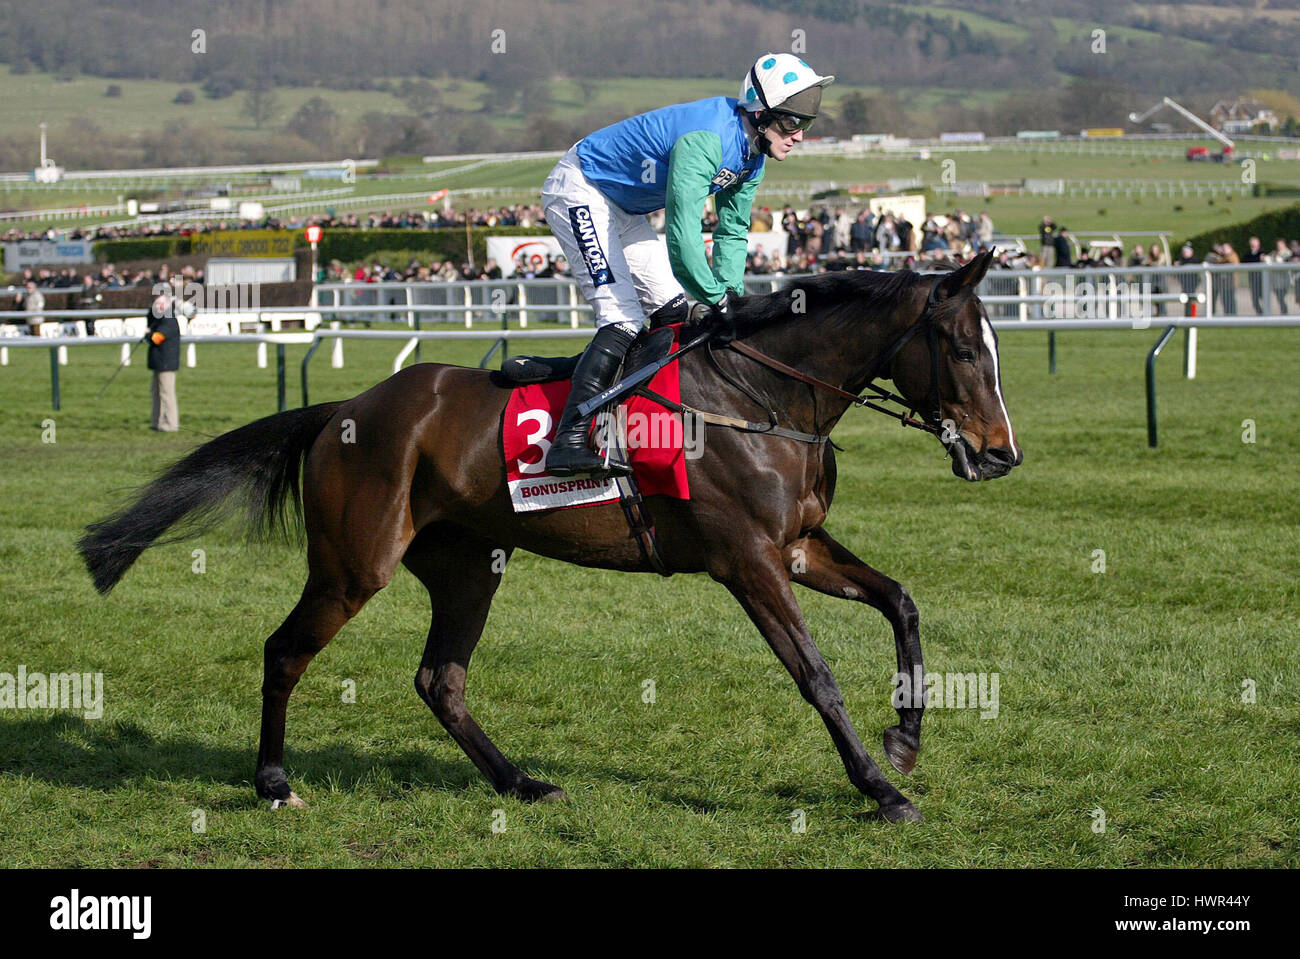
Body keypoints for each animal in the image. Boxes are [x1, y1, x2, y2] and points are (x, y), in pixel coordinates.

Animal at [78, 248, 1013, 821]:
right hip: (354, 563)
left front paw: (904, 741)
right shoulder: (747, 560)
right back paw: (274, 783)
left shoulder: (796, 546)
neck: (758, 395)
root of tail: (343, 410)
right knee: (285, 651)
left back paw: (522, 781)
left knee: (440, 680)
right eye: (966, 349)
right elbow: (816, 675)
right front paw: (879, 789)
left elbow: (902, 602)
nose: (1003, 453)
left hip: (469, 565)